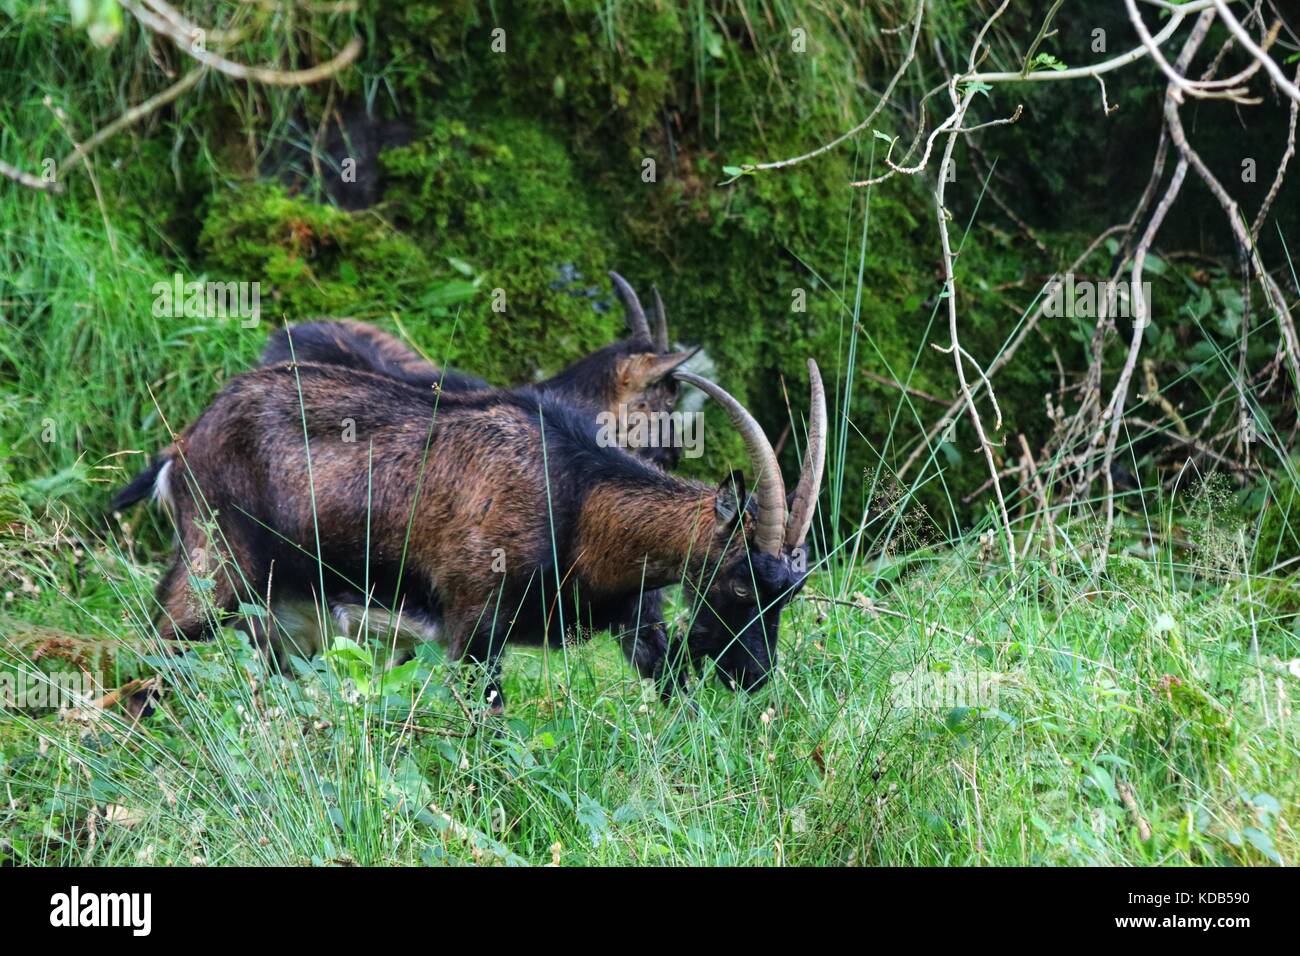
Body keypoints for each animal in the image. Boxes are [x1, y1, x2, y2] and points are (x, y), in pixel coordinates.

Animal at [129, 358, 821, 712]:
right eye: (741, 583)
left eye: (792, 591)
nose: (754, 675)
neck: (577, 497)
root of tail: (183, 447)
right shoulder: (471, 625)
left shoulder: (635, 620)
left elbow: (669, 680)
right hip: (215, 569)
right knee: (151, 655)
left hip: (287, 618)